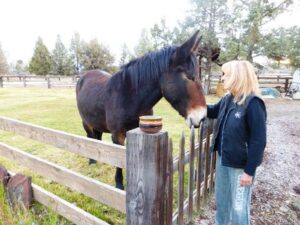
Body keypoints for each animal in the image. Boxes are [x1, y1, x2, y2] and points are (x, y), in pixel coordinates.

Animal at [75, 30, 206, 190]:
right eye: (189, 76)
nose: (202, 116)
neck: (129, 96)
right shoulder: (117, 135)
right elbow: (119, 159)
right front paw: (119, 184)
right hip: (86, 122)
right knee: (90, 137)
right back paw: (92, 161)